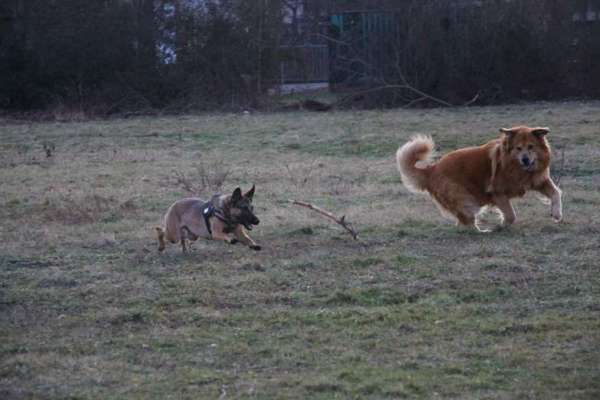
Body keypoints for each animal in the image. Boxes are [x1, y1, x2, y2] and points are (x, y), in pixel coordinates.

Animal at [398, 125, 564, 231]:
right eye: (518, 148)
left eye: (531, 146)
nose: (525, 160)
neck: (517, 167)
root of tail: (431, 169)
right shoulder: (497, 193)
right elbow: (511, 215)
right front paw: (502, 225)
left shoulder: (539, 181)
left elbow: (556, 193)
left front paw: (556, 213)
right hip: (465, 200)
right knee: (468, 221)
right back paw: (482, 231)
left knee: (463, 222)